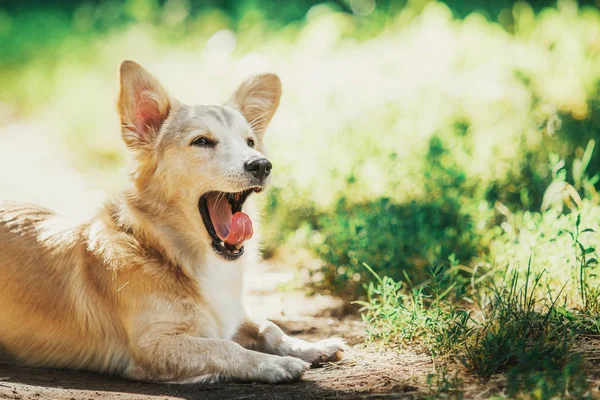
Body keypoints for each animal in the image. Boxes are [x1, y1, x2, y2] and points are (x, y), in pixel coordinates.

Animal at [0, 61, 344, 384]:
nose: (262, 164)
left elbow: (269, 328)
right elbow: (225, 347)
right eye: (202, 141)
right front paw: (275, 364)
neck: (162, 248)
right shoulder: (155, 345)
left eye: (250, 142)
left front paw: (312, 346)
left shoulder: (233, 315)